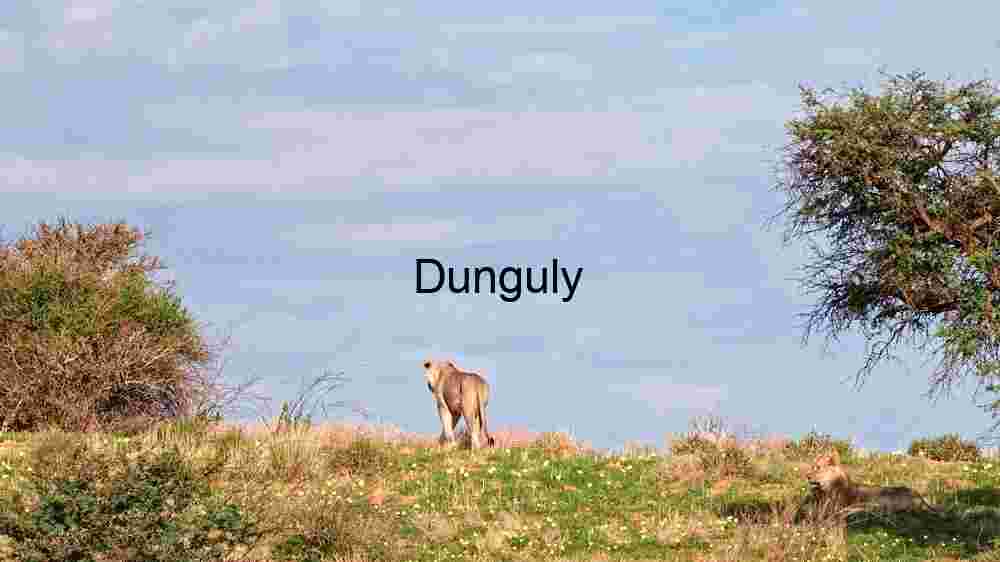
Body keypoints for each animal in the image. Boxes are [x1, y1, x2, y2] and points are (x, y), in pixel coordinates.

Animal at [797, 449, 938, 521]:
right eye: (812, 467)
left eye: (818, 468)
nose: (807, 476)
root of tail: (917, 494)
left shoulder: (834, 507)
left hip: (883, 497)